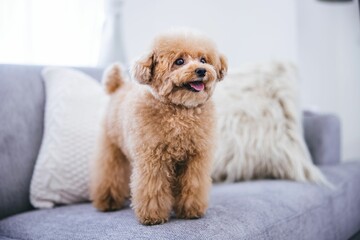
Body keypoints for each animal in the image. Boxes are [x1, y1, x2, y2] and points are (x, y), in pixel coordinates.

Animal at [90, 30, 226, 225]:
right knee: (109, 173)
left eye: (203, 59)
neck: (179, 111)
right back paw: (108, 202)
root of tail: (118, 86)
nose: (201, 70)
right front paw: (152, 216)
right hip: (111, 147)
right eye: (179, 61)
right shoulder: (153, 158)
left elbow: (193, 184)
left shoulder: (195, 158)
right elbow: (153, 187)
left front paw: (191, 210)